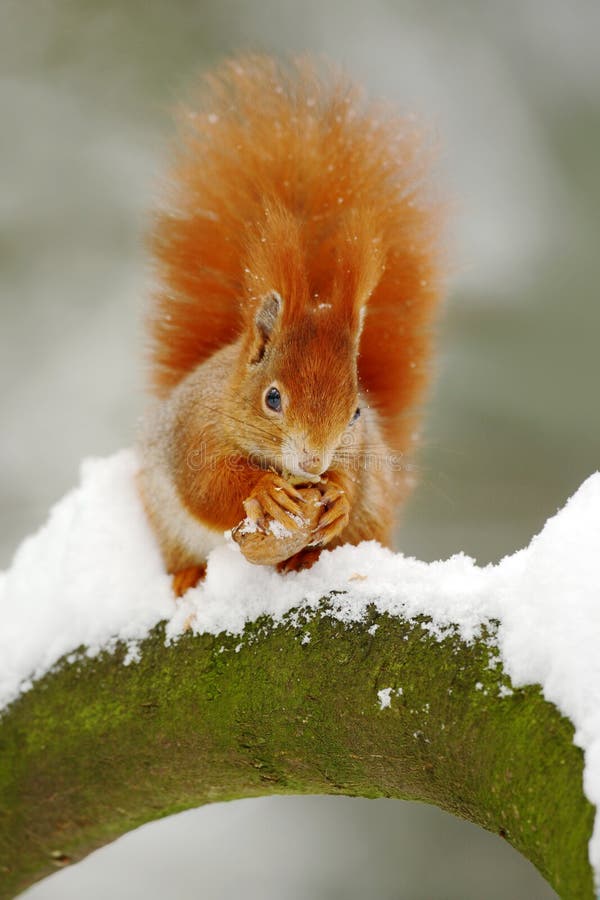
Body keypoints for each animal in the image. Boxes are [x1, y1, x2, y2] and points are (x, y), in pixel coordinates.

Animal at [137, 55, 445, 595]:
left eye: (356, 412)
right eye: (273, 398)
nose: (312, 464)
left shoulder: (360, 451)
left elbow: (352, 479)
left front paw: (337, 496)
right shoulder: (193, 436)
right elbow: (209, 487)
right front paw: (265, 490)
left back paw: (305, 557)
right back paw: (189, 576)